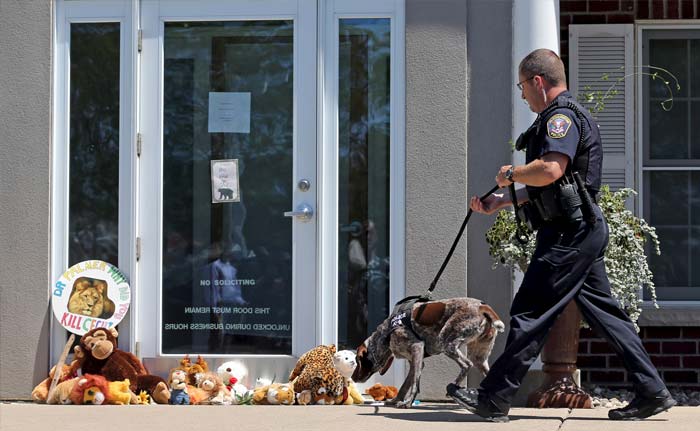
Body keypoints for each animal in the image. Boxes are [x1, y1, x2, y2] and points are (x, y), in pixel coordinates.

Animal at [352, 298, 500, 410]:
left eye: (358, 360)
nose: (352, 377)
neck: (386, 334)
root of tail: (483, 307)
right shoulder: (415, 360)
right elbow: (405, 385)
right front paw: (396, 400)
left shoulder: (417, 348)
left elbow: (414, 383)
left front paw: (407, 403)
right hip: (479, 357)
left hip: (446, 342)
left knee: (466, 365)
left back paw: (455, 387)